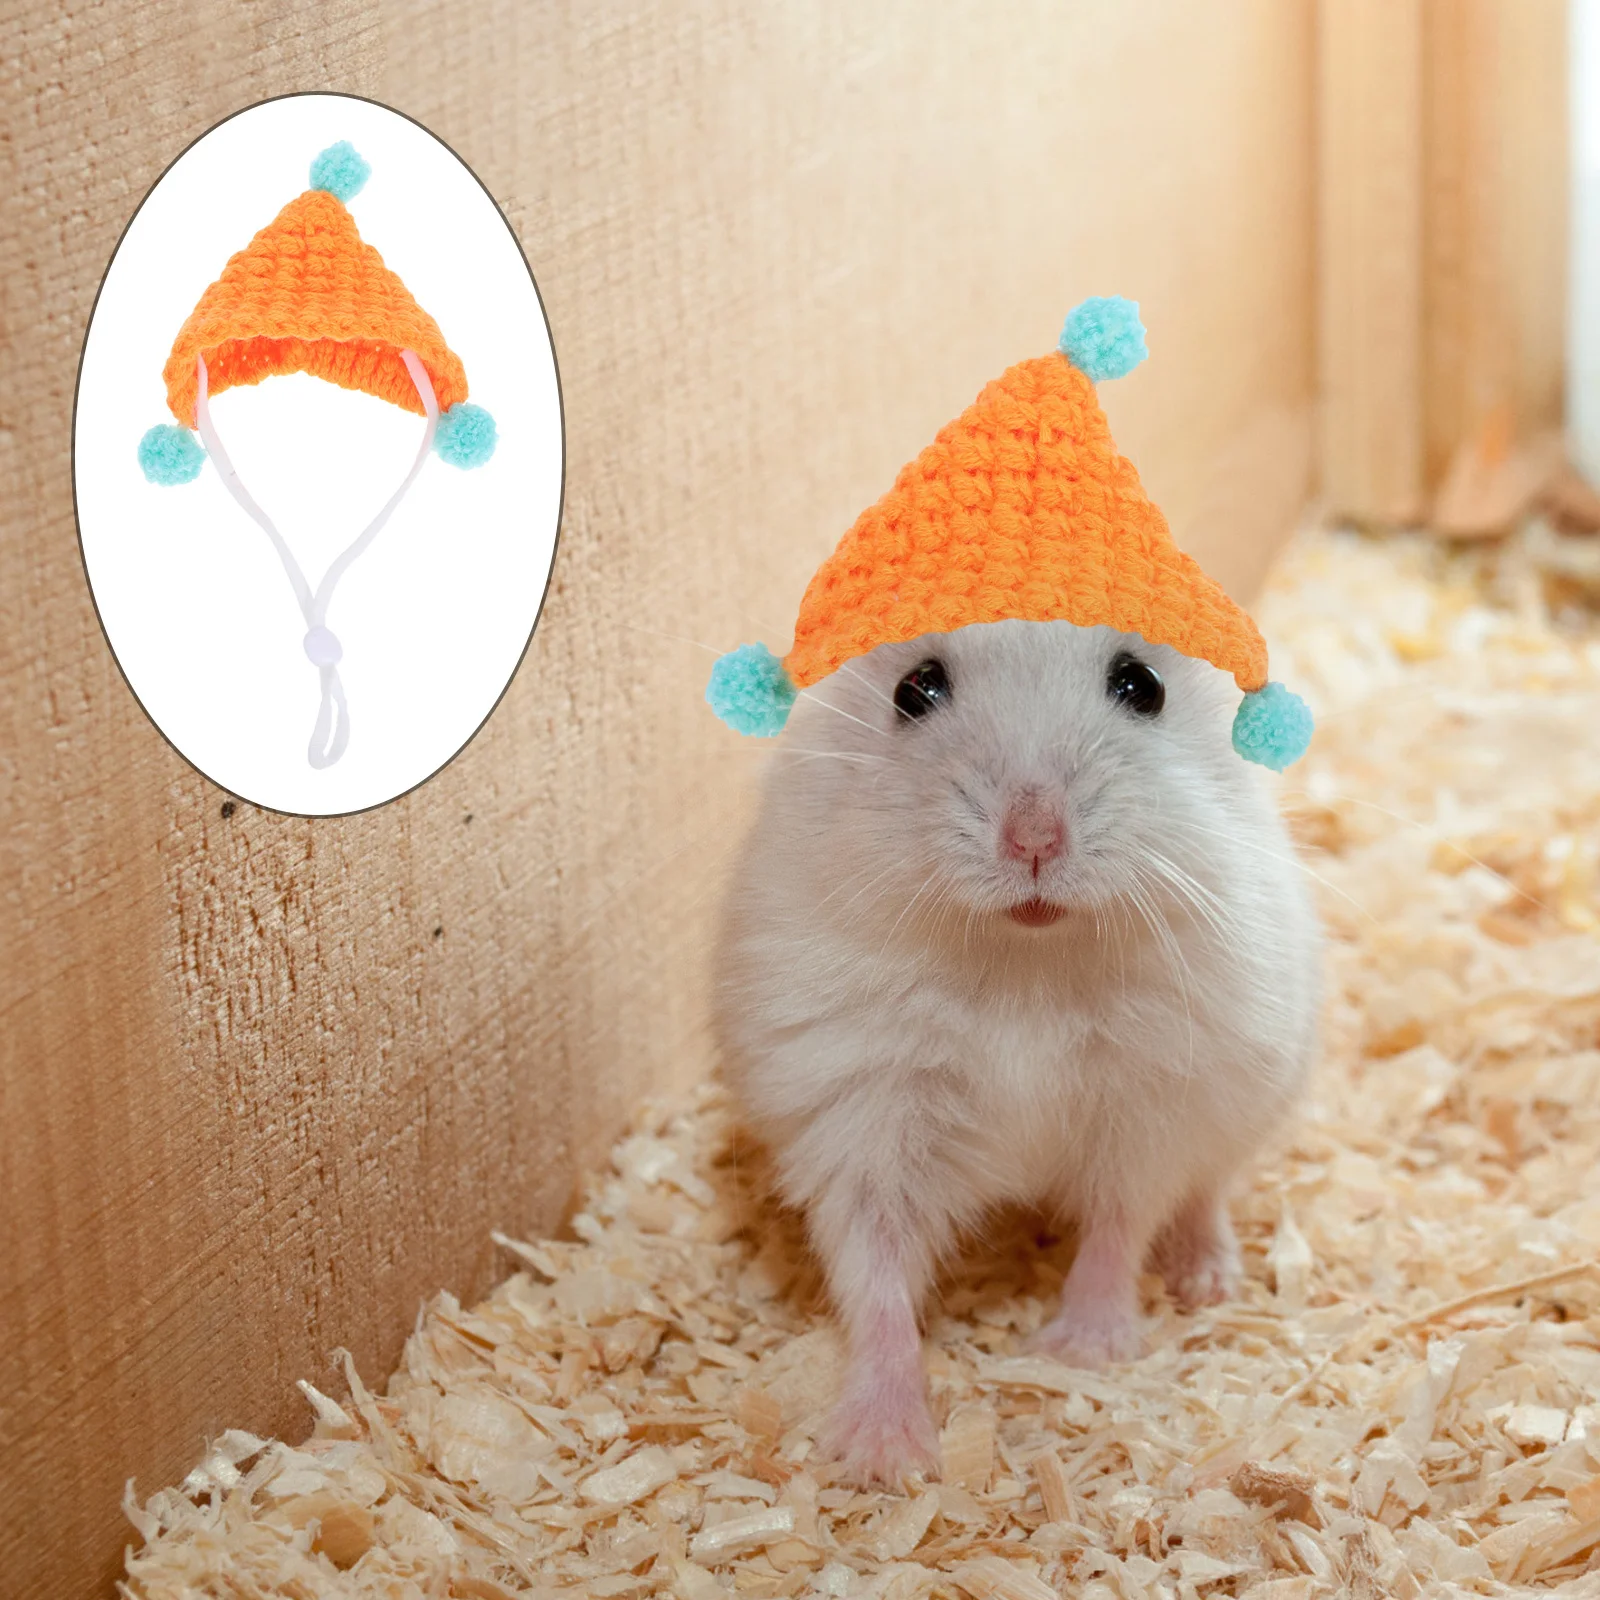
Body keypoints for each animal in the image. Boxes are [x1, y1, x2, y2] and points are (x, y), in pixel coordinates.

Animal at [712, 617, 1322, 1484]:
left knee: (1205, 1192)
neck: (1025, 961)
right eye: (914, 691)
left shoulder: (1151, 1109)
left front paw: (1081, 1355)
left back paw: (1206, 1281)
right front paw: (886, 1460)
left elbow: (1119, 1225)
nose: (1033, 839)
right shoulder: (863, 1123)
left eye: (1141, 686)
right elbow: (877, 1280)